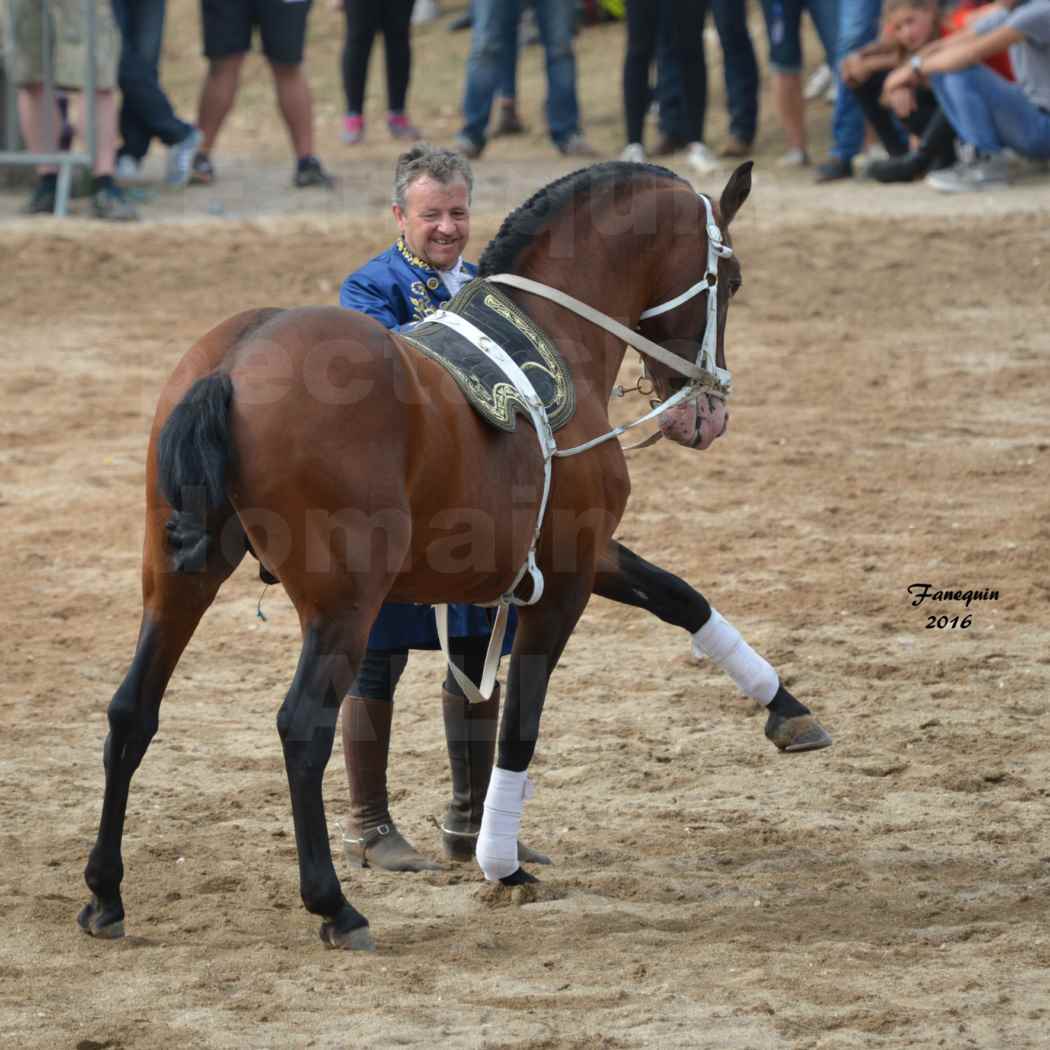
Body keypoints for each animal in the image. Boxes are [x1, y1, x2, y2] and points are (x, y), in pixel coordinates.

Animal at [76, 157, 772, 953]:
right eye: (732, 276)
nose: (709, 413)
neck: (556, 340)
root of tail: (236, 359)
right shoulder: (564, 577)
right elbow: (521, 722)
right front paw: (501, 864)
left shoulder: (567, 560)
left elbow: (677, 596)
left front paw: (784, 706)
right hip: (345, 606)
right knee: (304, 726)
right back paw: (335, 905)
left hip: (176, 580)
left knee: (132, 711)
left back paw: (105, 893)